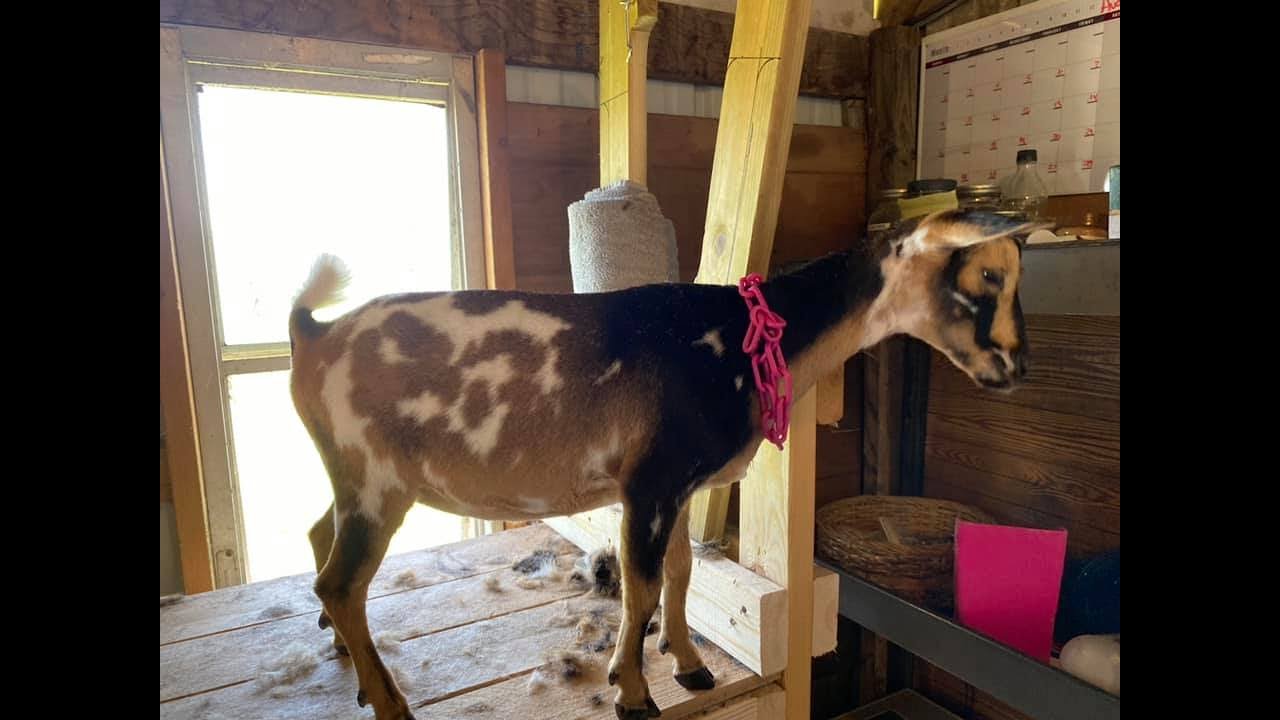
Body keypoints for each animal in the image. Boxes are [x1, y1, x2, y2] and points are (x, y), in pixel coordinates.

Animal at [289, 209, 1041, 719]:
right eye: (987, 275)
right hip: (376, 480)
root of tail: (313, 334)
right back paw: (389, 701)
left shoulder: (681, 484)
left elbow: (680, 574)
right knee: (340, 583)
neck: (743, 338)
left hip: (355, 477)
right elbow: (642, 588)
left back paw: (347, 660)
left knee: (320, 539)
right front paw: (633, 690)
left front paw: (688, 665)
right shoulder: (651, 482)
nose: (1015, 370)